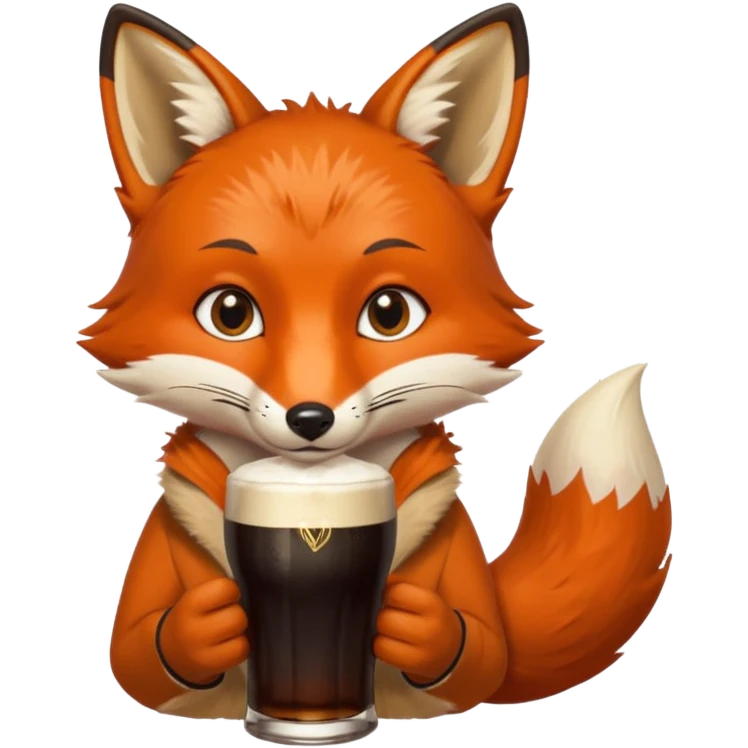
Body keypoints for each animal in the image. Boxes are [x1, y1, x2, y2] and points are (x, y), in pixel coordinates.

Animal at [86, 1, 673, 724]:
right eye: (230, 313)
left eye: (389, 313)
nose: (311, 417)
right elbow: (136, 652)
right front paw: (204, 630)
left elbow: (483, 651)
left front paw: (421, 630)